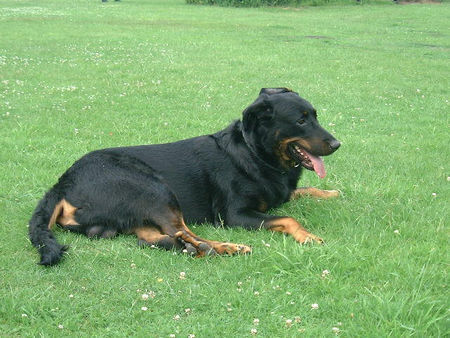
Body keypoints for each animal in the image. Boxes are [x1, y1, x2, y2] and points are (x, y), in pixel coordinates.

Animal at [29, 88, 340, 266]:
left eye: (315, 115)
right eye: (301, 120)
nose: (337, 144)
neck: (256, 153)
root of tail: (62, 183)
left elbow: (303, 191)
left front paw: (331, 193)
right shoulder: (234, 215)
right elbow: (288, 218)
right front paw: (308, 236)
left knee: (154, 238)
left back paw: (190, 248)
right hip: (153, 188)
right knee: (183, 230)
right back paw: (223, 247)